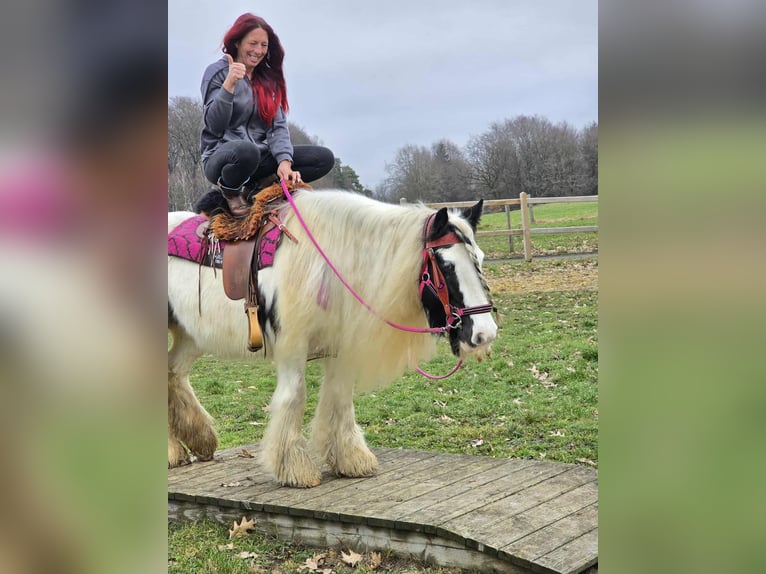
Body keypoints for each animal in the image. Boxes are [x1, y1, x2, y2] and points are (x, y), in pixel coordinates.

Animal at [168, 189, 498, 487]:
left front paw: (350, 458)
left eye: (480, 259)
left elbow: (340, 397)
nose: (484, 333)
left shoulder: (339, 347)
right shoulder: (293, 347)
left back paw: (191, 444)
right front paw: (295, 468)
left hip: (190, 336)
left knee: (173, 374)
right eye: (446, 266)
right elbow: (294, 396)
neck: (328, 264)